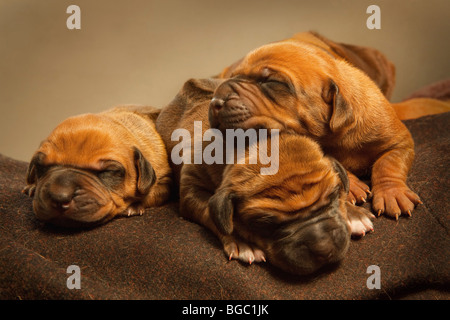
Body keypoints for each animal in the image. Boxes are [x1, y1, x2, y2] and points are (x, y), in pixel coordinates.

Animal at [23, 106, 173, 226]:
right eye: (41, 166)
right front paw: (33, 186)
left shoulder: (164, 181)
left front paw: (134, 206)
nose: (60, 197)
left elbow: (151, 194)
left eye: (109, 171)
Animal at [156, 78, 374, 276]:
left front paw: (354, 214)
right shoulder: (191, 190)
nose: (324, 248)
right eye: (264, 224)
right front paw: (243, 242)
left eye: (333, 196)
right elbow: (212, 215)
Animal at [210, 31, 422, 220]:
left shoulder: (400, 142)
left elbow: (388, 164)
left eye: (272, 81)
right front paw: (352, 185)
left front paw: (391, 193)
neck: (334, 133)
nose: (215, 101)